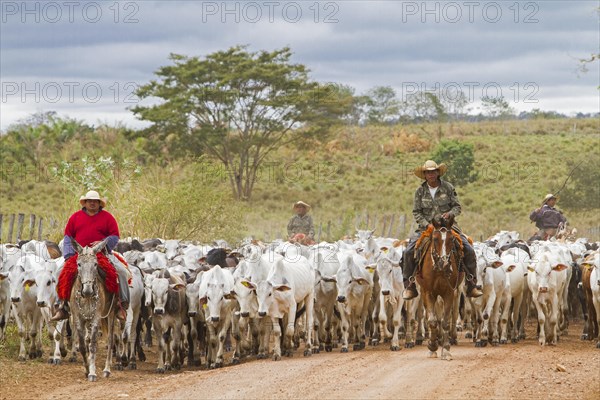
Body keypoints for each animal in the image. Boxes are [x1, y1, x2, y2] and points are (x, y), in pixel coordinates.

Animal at [69, 238, 118, 382]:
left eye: (95, 264)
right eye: (79, 264)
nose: (87, 291)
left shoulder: (96, 318)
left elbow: (93, 345)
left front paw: (92, 372)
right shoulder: (78, 318)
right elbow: (82, 345)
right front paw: (86, 369)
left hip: (111, 313)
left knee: (110, 339)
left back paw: (107, 369)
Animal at [418, 216, 464, 360]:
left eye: (451, 239)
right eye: (435, 239)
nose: (444, 263)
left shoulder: (449, 292)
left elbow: (445, 321)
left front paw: (446, 349)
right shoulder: (428, 292)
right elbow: (433, 321)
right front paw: (432, 346)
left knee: (454, 313)